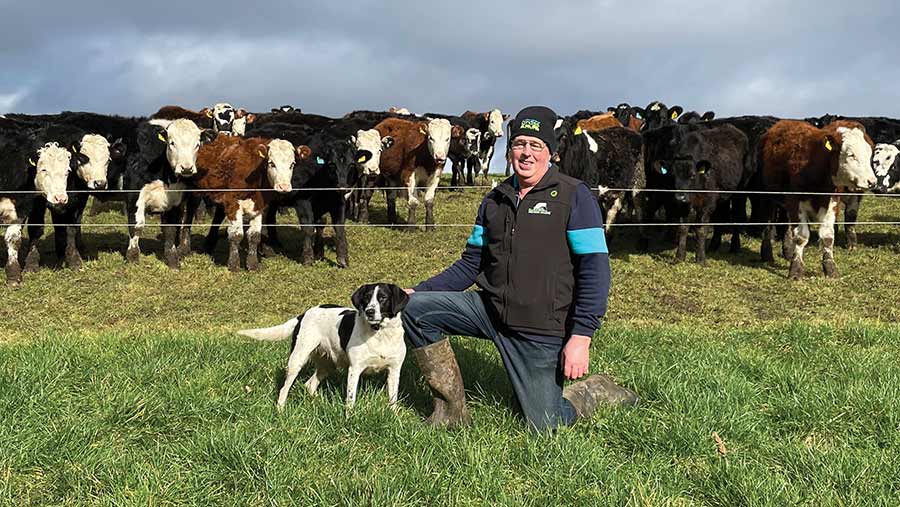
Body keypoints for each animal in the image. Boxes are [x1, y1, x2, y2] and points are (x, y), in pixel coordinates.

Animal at [195, 134, 312, 270]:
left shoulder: (259, 207)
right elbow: (236, 235)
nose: (283, 187)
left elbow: (254, 235)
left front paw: (253, 264)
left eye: (292, 164)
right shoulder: (233, 204)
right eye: (271, 163)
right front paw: (233, 265)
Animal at [237, 284, 410, 410]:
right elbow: (350, 399)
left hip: (327, 364)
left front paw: (392, 416)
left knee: (309, 384)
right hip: (297, 359)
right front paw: (349, 419)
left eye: (383, 298)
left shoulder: (394, 370)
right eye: (366, 298)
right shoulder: (355, 369)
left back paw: (316, 403)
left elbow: (393, 399)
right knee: (284, 388)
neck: (380, 334)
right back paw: (280, 409)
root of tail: (303, 314)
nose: (369, 311)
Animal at [756, 120, 876, 280]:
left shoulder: (832, 202)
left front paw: (830, 269)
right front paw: (796, 270)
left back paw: (788, 251)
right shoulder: (795, 201)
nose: (872, 181)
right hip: (768, 197)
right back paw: (767, 253)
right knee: (768, 224)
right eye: (851, 155)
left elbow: (828, 237)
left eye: (869, 154)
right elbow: (801, 237)